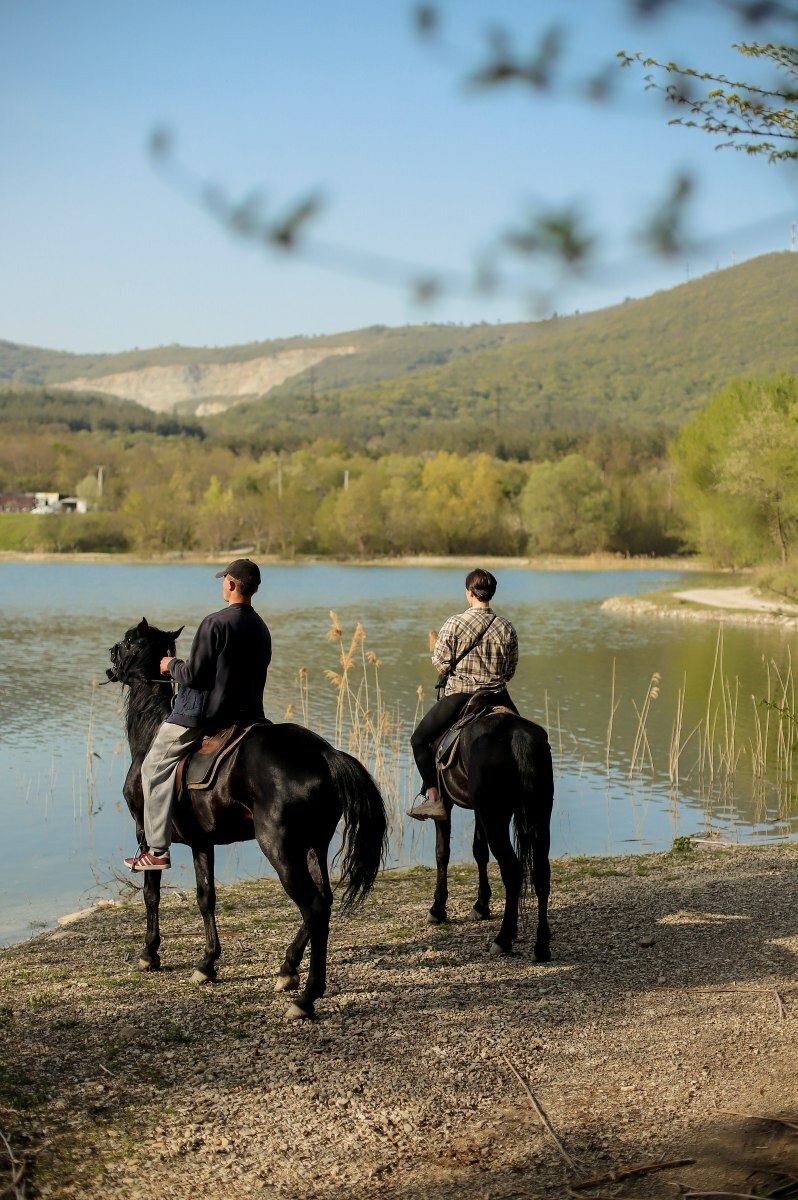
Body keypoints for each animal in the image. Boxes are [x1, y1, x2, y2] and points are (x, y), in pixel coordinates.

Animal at [107, 619, 386, 1022]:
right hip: (313, 844)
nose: (111, 655)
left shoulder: (145, 831)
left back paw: (306, 997)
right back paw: (288, 968)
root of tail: (324, 753)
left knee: (315, 907)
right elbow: (206, 897)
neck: (152, 733)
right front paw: (207, 963)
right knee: (325, 900)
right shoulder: (202, 842)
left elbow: (151, 893)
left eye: (130, 641)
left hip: (280, 849)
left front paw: (149, 954)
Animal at [427, 705, 552, 960]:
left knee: (512, 871)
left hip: (496, 818)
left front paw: (438, 909)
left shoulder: (446, 803)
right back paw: (541, 946)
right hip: (539, 816)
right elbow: (479, 852)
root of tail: (518, 737)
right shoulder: (479, 812)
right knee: (541, 873)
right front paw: (481, 905)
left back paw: (503, 939)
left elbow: (442, 852)